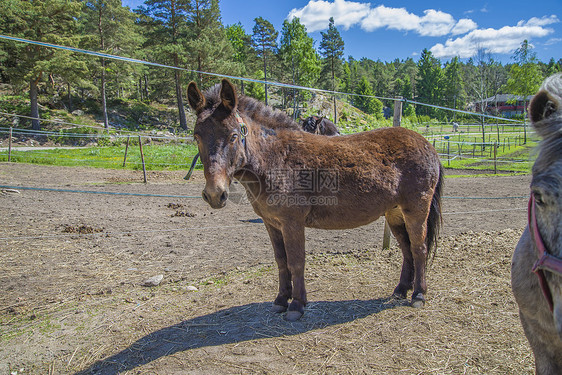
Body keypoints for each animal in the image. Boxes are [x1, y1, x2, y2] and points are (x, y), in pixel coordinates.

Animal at [188, 78, 442, 320]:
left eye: (233, 136)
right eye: (196, 136)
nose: (215, 194)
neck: (275, 159)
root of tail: (427, 145)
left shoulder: (292, 223)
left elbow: (296, 261)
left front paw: (297, 305)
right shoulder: (272, 224)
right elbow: (281, 261)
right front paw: (281, 300)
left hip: (416, 210)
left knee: (419, 248)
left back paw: (418, 295)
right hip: (395, 214)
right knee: (407, 250)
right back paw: (400, 290)